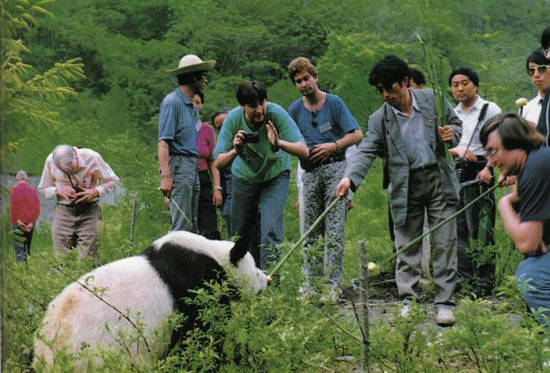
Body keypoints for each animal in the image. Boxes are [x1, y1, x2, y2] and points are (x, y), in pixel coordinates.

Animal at [32, 230, 270, 366]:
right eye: (255, 269)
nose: (267, 280)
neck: (213, 254)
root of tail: (49, 356)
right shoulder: (195, 287)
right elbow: (202, 334)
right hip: (101, 354)